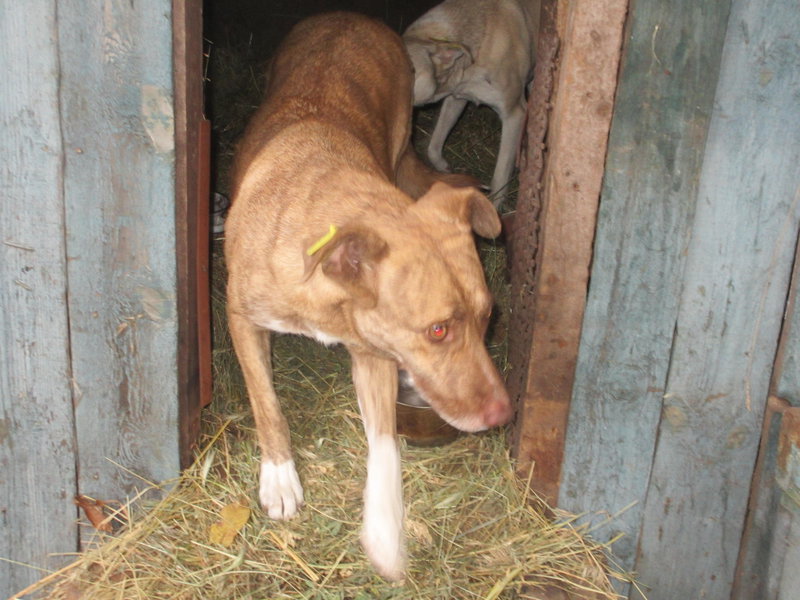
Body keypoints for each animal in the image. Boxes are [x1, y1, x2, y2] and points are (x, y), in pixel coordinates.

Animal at [223, 10, 512, 580]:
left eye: (490, 317)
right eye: (438, 330)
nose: (502, 415)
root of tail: (350, 15)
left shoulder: (373, 351)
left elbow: (385, 448)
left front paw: (384, 532)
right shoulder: (241, 318)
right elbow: (266, 402)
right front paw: (279, 476)